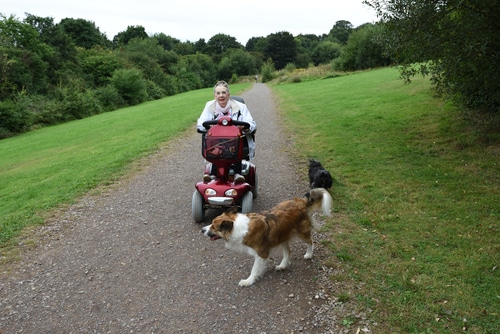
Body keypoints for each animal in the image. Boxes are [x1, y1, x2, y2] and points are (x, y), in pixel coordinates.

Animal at [199, 189, 332, 286]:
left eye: (214, 227)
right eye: (211, 223)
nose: (202, 230)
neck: (237, 226)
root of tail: (301, 202)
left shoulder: (261, 252)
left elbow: (254, 269)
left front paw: (248, 281)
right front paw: (269, 261)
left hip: (301, 233)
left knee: (310, 242)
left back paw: (309, 254)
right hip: (281, 235)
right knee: (288, 252)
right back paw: (283, 265)